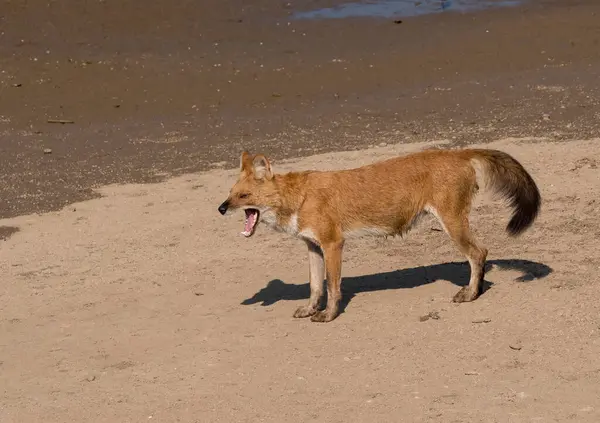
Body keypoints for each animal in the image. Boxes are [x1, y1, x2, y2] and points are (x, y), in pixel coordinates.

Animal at [218, 147, 540, 322]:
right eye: (230, 193)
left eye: (243, 196)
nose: (221, 208)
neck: (299, 196)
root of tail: (457, 152)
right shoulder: (312, 246)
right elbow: (315, 286)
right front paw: (310, 309)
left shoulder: (334, 243)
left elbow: (332, 287)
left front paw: (329, 315)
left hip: (453, 225)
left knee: (479, 253)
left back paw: (471, 294)